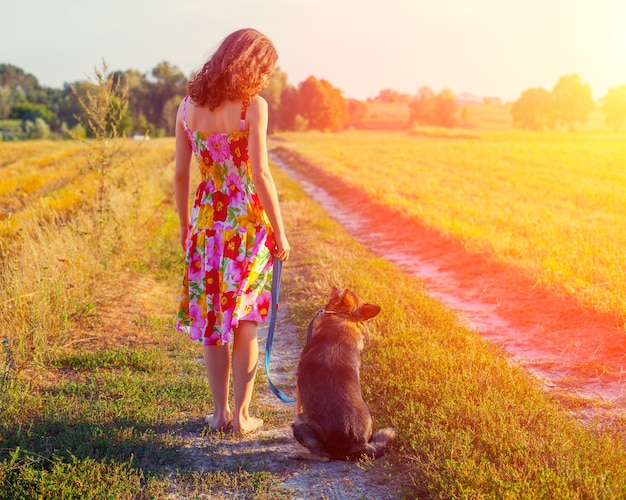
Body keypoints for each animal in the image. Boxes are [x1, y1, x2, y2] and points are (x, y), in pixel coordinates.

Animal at [288, 286, 392, 460]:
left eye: (340, 291)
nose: (335, 286)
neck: (344, 317)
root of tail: (356, 445)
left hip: (299, 424)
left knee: (324, 456)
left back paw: (300, 453)